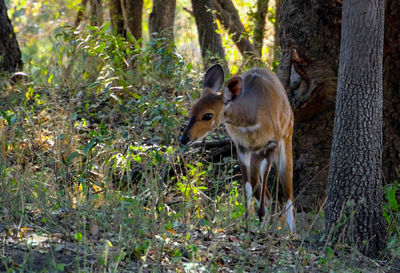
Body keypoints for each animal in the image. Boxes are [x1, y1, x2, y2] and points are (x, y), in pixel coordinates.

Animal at [180, 64, 296, 232]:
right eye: (192, 109)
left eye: (208, 115)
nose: (184, 139)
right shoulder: (241, 147)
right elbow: (247, 186)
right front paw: (247, 224)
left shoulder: (272, 144)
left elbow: (266, 179)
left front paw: (259, 219)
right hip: (256, 155)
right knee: (264, 192)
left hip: (286, 140)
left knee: (288, 191)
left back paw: (292, 232)